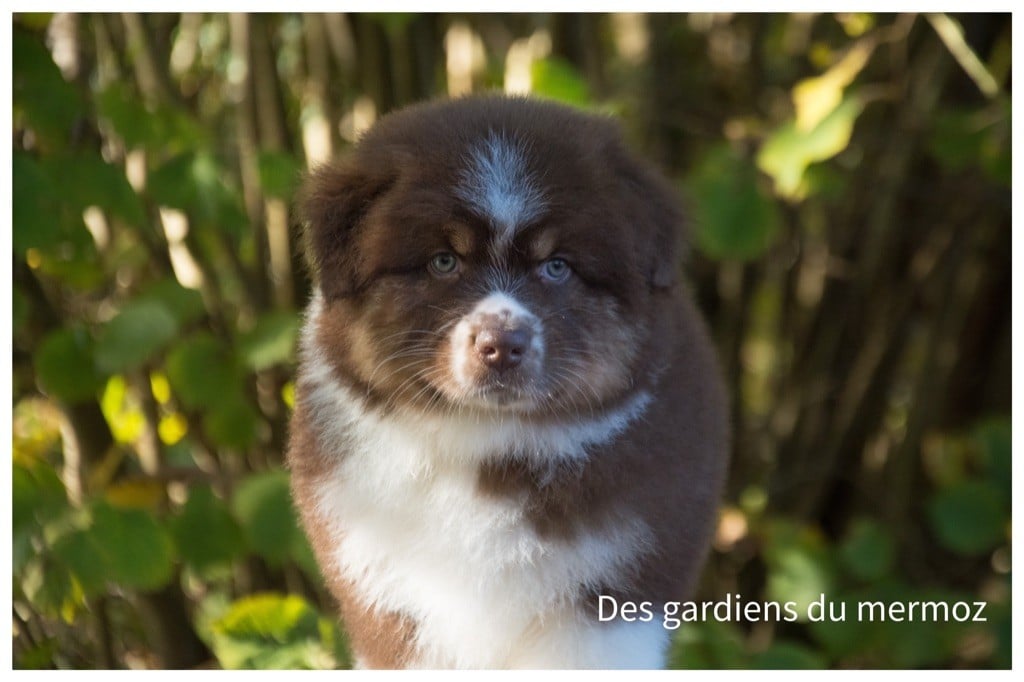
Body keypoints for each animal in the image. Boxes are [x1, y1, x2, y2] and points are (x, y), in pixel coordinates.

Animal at [286, 93, 729, 667]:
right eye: (444, 261)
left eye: (557, 267)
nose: (502, 346)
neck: (486, 443)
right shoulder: (389, 603)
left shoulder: (606, 608)